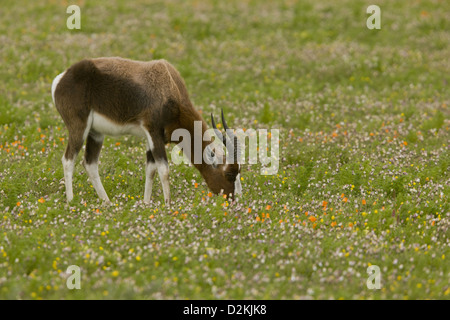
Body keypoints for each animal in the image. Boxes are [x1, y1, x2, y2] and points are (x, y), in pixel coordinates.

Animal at [51, 57, 243, 205]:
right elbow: (164, 170)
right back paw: (71, 201)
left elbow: (150, 170)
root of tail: (61, 78)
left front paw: (146, 203)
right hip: (79, 128)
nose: (232, 200)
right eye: (229, 174)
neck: (168, 83)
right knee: (68, 160)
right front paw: (168, 205)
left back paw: (107, 202)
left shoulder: (154, 138)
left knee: (90, 163)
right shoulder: (154, 132)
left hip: (96, 133)